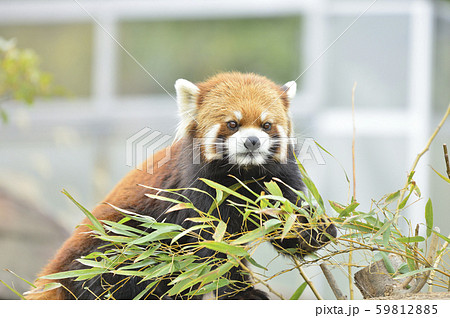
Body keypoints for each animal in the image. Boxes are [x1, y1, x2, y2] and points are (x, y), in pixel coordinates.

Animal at [24, 72, 334, 300]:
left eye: (266, 124)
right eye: (232, 124)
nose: (252, 142)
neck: (242, 175)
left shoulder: (278, 180)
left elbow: (284, 223)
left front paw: (316, 228)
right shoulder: (198, 190)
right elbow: (210, 249)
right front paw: (240, 292)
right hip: (113, 245)